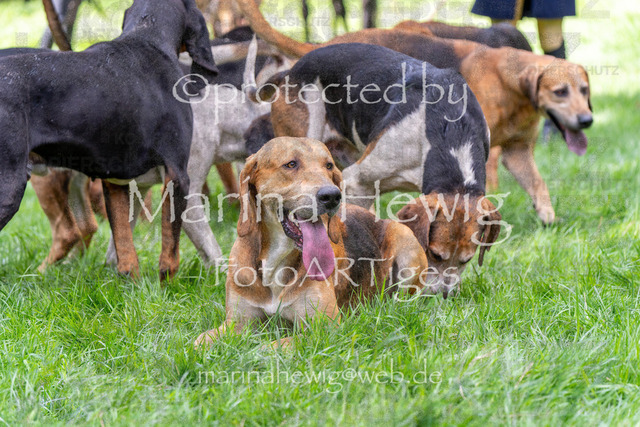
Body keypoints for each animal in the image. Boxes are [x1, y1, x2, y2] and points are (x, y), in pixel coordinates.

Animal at [0, 0, 218, 280]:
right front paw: (167, 286)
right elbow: (170, 251)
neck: (148, 37)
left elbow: (124, 248)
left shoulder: (115, 180)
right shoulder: (178, 175)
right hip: (11, 188)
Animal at [194, 137, 429, 348]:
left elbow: (268, 346)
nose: (332, 196)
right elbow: (196, 342)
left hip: (406, 242)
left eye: (329, 166)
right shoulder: (235, 324)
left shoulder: (323, 328)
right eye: (291, 164)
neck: (275, 260)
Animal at [236, 0, 593, 224]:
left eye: (585, 91)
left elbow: (537, 184)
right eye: (560, 92)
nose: (586, 120)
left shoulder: (517, 153)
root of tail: (297, 65)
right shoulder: (357, 181)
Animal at [246, 43, 502, 294]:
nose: (443, 296)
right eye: (435, 255)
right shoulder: (358, 182)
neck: (452, 127)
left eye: (466, 260)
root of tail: (292, 71)